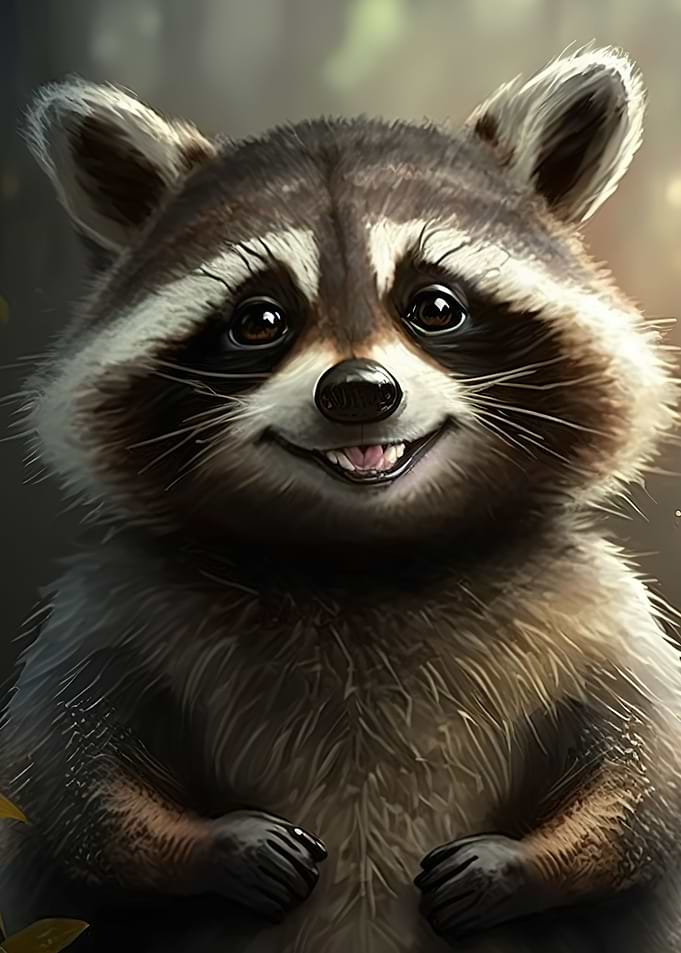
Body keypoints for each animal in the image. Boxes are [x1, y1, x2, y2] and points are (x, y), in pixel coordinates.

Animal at [1, 45, 681, 953]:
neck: (360, 554)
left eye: (435, 305)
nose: (358, 392)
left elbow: (648, 784)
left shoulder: (598, 607)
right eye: (259, 319)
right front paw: (216, 845)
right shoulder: (110, 605)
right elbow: (64, 782)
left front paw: (521, 863)